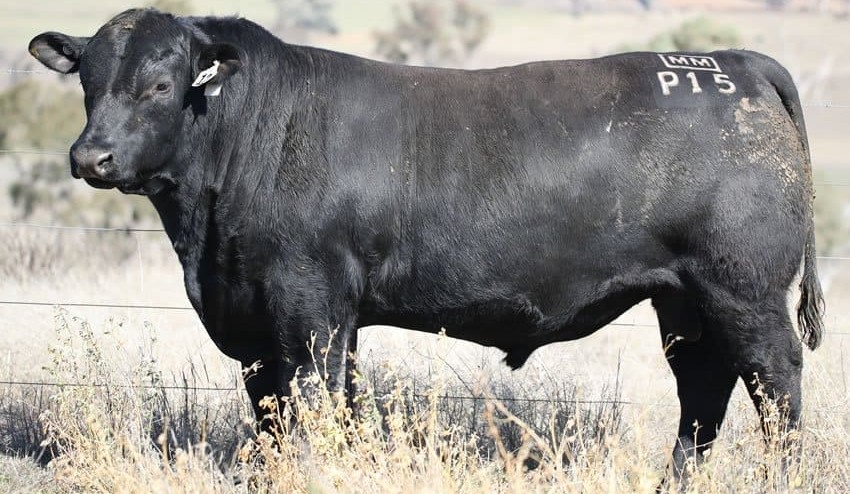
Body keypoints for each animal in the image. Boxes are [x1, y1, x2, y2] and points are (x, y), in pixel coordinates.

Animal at [30, 8, 824, 480]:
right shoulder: (254, 318)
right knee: (704, 390)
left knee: (774, 383)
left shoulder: (310, 304)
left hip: (743, 288)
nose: (91, 157)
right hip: (683, 299)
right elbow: (273, 411)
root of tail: (736, 63)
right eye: (89, 82)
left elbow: (316, 400)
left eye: (161, 85)